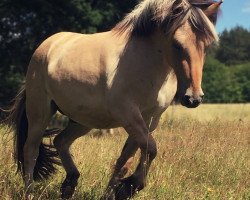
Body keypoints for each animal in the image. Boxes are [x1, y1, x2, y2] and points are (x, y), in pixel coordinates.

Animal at [4, 0, 222, 199]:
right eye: (176, 44)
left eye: (207, 45)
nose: (193, 98)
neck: (145, 61)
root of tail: (47, 45)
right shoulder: (128, 115)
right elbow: (151, 149)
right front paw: (130, 186)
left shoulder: (149, 120)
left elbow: (127, 159)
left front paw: (115, 191)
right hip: (39, 113)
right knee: (30, 150)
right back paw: (30, 192)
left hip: (83, 120)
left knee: (60, 141)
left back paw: (69, 183)